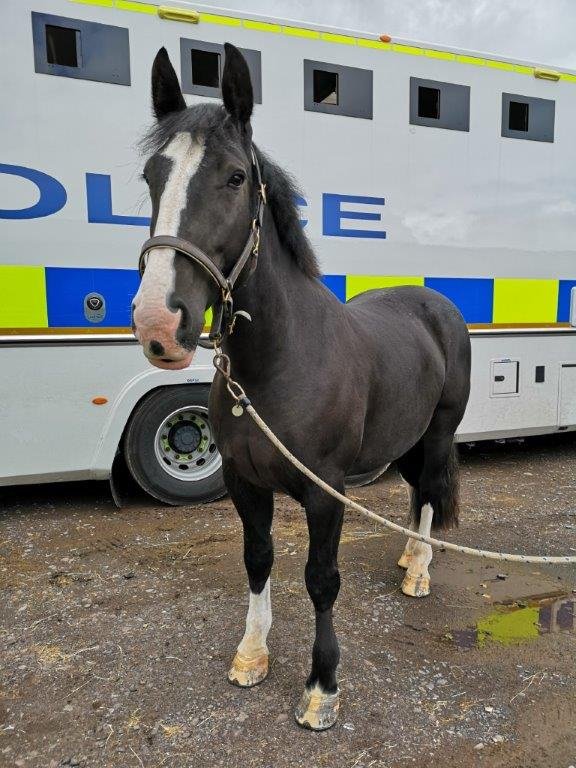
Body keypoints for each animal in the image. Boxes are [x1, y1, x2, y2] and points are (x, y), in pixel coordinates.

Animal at [132, 43, 471, 731]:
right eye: (152, 176)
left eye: (236, 177)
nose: (159, 325)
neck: (278, 364)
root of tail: (438, 306)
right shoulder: (246, 484)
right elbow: (259, 560)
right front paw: (251, 657)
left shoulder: (325, 491)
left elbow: (321, 578)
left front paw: (321, 688)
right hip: (404, 438)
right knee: (417, 488)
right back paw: (406, 557)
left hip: (439, 431)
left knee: (430, 490)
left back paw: (419, 571)